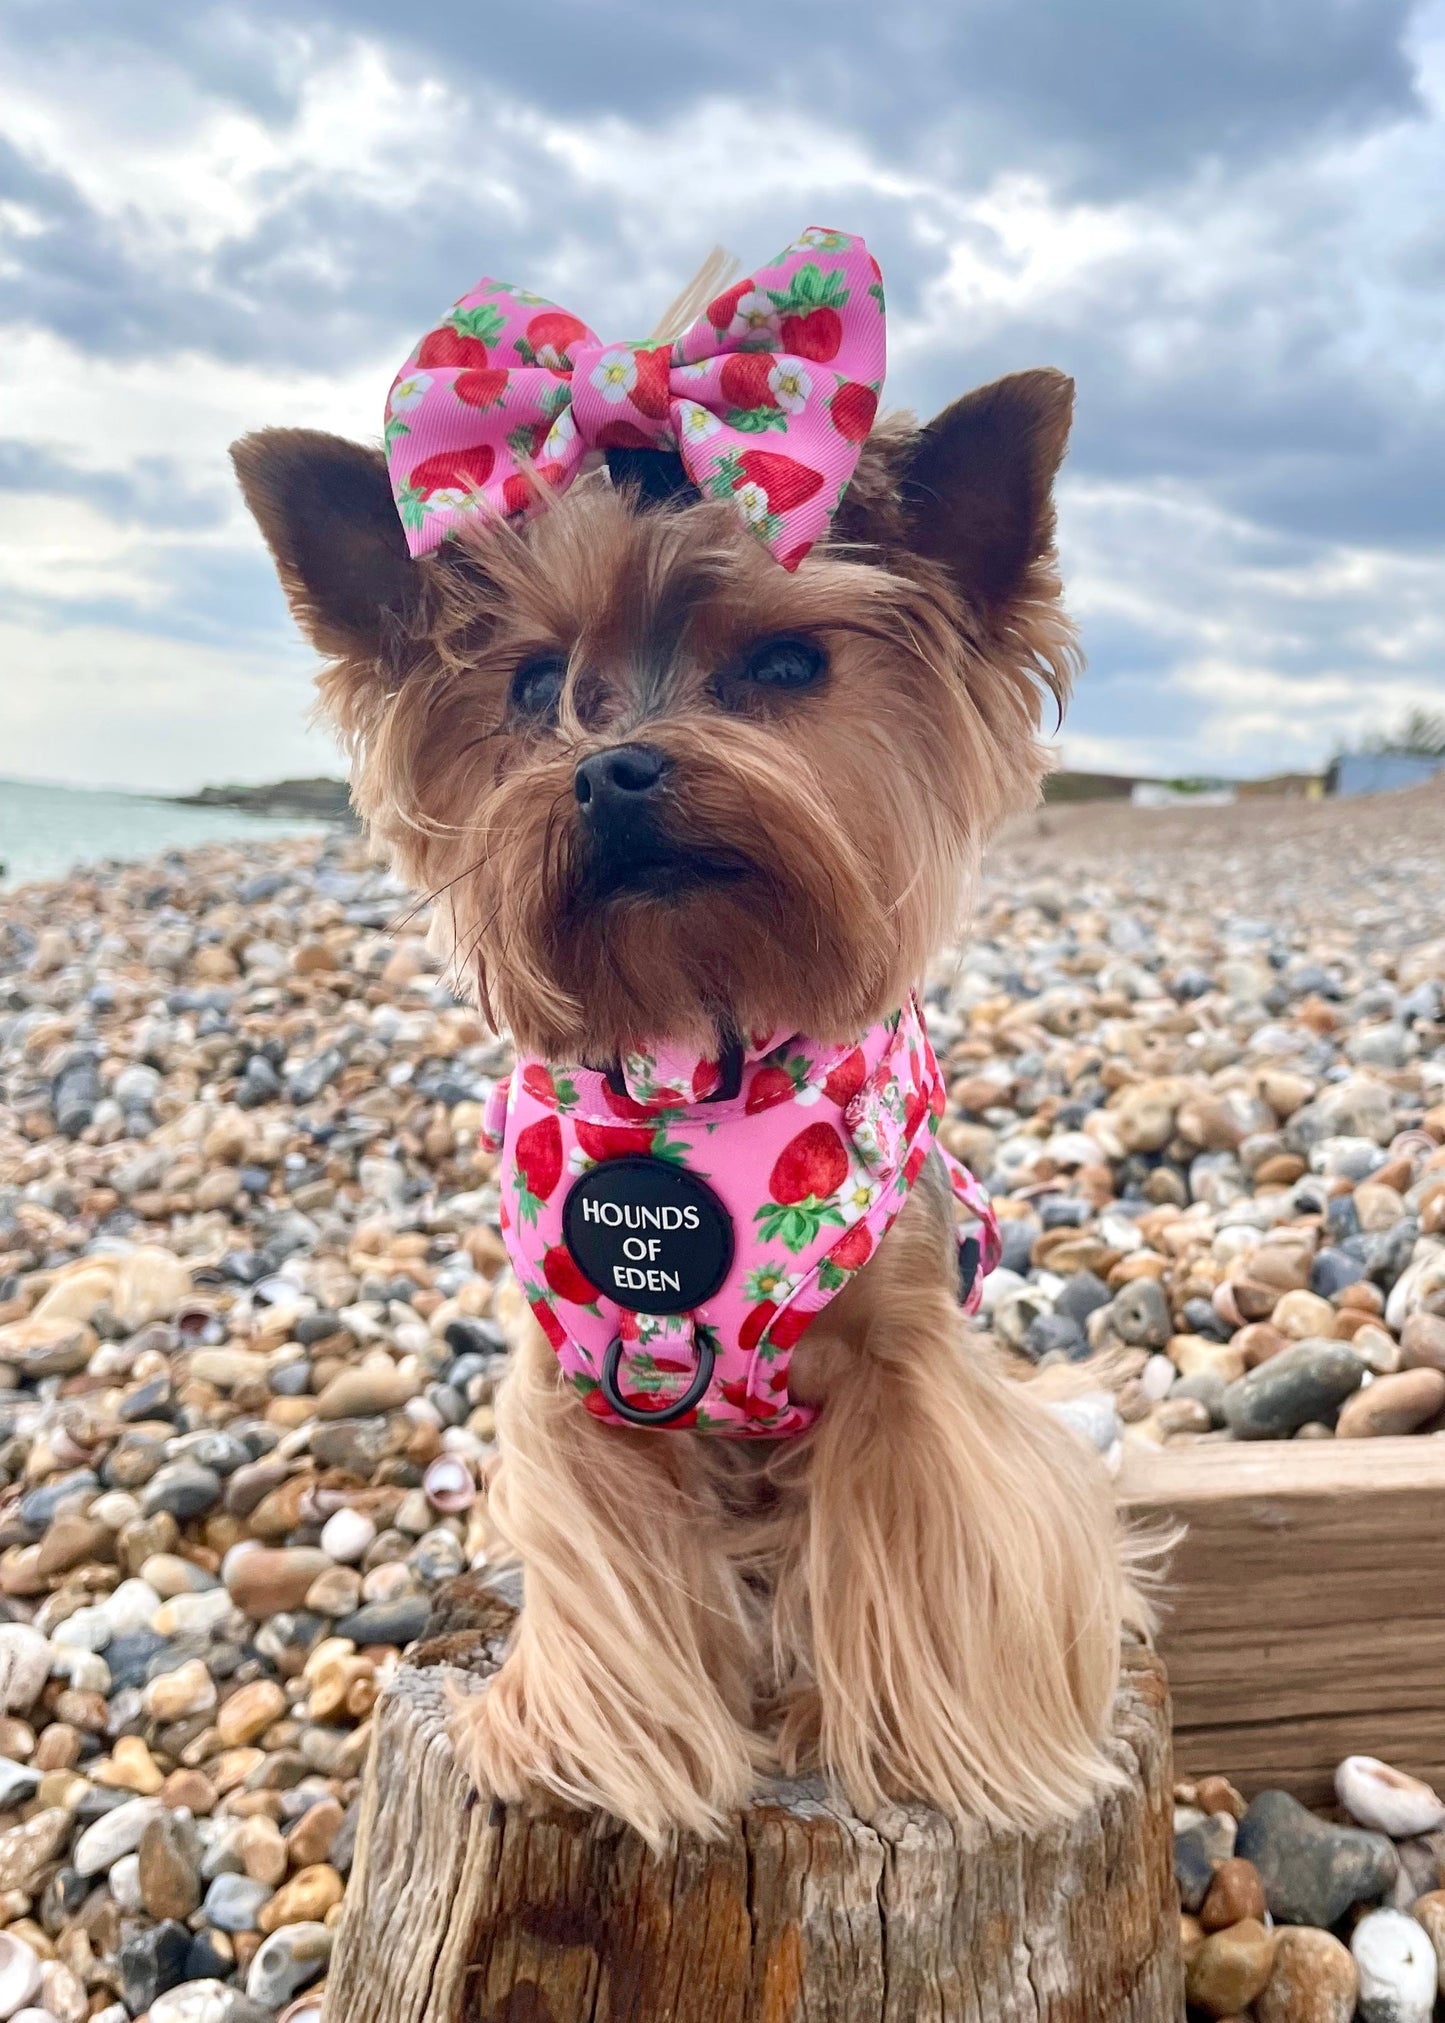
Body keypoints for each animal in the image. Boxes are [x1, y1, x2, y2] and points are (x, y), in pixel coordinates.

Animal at [236, 225, 1133, 1853]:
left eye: (782, 667)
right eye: (533, 682)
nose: (616, 768)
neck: (690, 1071)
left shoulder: (904, 1356)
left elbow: (917, 1541)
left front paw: (939, 1753)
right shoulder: (578, 1378)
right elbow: (612, 1578)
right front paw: (589, 1749)